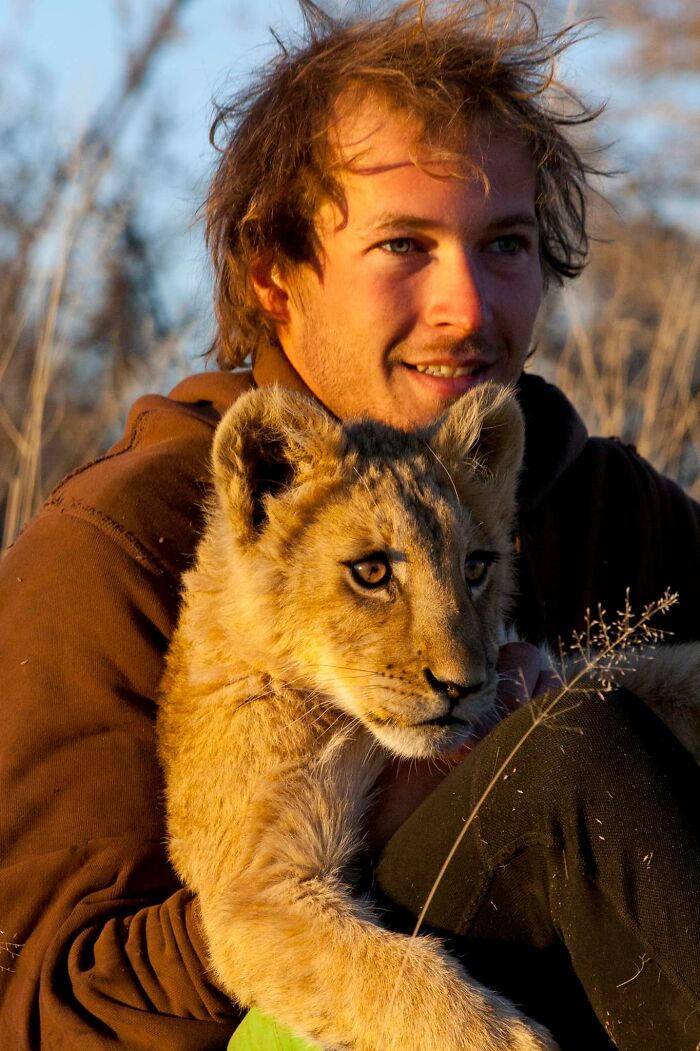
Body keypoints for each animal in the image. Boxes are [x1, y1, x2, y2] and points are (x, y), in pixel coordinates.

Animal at [157, 382, 699, 1051]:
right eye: (372, 571)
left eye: (476, 567)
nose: (462, 686)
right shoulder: (257, 889)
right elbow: (397, 975)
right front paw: (511, 1042)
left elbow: (644, 673)